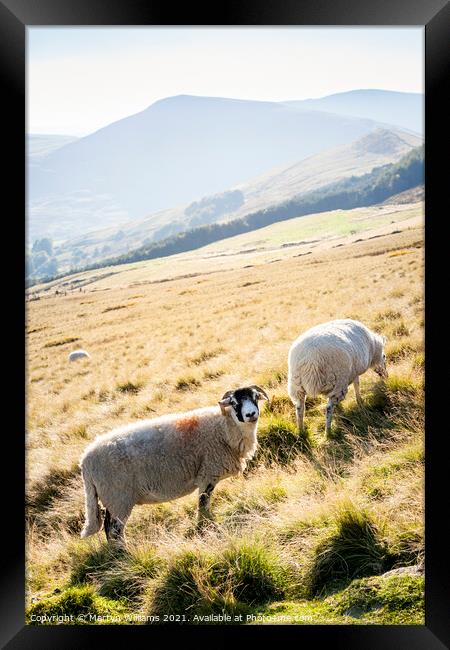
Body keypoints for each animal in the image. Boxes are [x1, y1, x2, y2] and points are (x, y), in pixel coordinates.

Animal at [78, 384, 268, 540]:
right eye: (234, 403)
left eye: (254, 397)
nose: (251, 414)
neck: (224, 427)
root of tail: (85, 460)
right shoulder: (207, 475)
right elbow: (203, 505)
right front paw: (205, 527)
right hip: (118, 497)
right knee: (113, 530)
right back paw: (122, 554)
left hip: (112, 499)